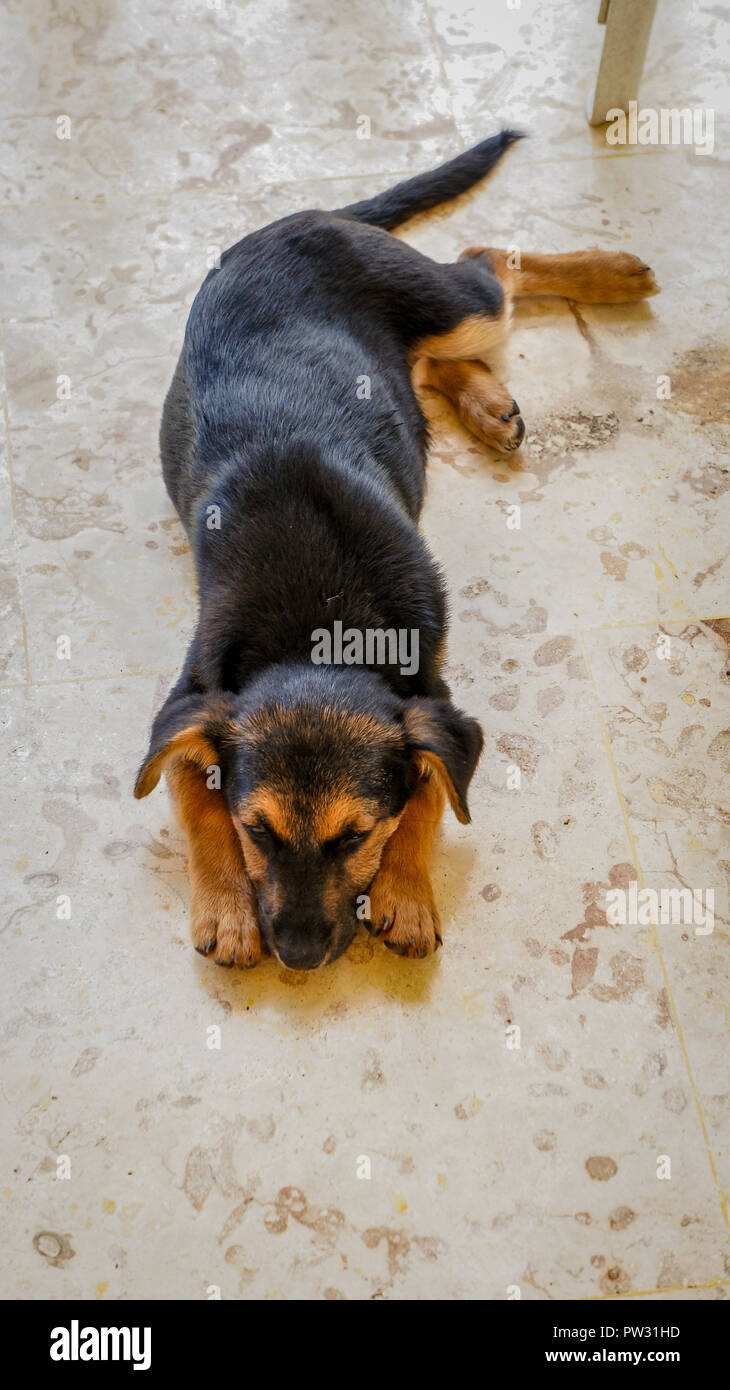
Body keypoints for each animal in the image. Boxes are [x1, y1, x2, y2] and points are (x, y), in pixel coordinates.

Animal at [133, 135, 656, 973]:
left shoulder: (433, 698)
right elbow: (194, 800)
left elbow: (432, 793)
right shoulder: (191, 702)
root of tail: (302, 216)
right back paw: (487, 401)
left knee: (486, 262)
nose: (299, 960)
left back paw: (610, 273)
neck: (318, 631)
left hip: (457, 308)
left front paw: (407, 894)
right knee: (430, 350)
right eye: (258, 831)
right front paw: (227, 907)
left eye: (356, 835)